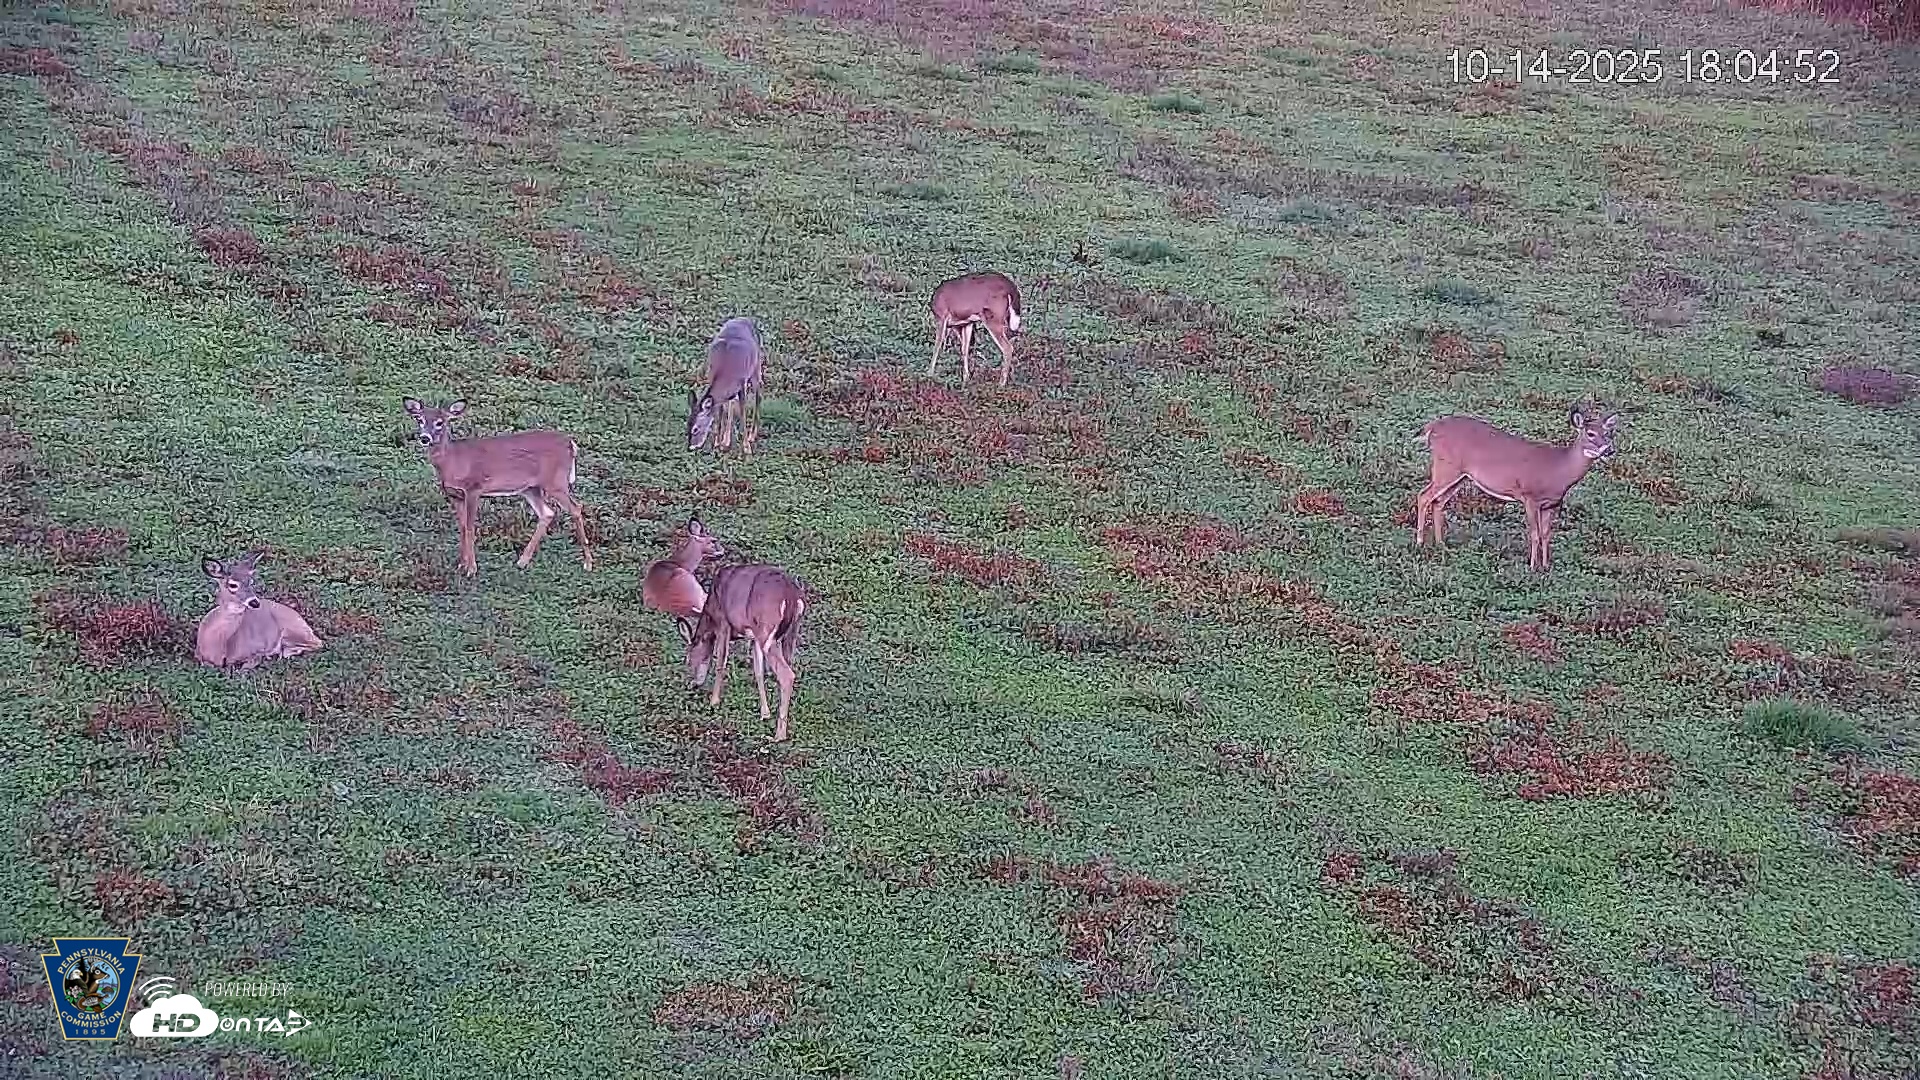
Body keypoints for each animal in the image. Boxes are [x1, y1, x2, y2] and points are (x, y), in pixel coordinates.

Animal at [194, 551, 323, 671]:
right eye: (232, 585)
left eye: (251, 582)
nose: (255, 602)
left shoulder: (256, 649)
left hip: (292, 629)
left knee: (317, 643)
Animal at [403, 398, 593, 579]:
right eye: (419, 419)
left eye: (440, 422)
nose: (425, 438)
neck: (453, 461)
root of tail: (570, 443)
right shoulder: (454, 495)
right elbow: (462, 527)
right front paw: (461, 565)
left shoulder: (473, 489)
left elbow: (470, 527)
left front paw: (471, 569)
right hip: (531, 488)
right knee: (547, 513)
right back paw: (522, 561)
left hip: (555, 481)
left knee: (576, 508)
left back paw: (588, 563)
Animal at [685, 563, 806, 742]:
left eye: (688, 659)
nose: (694, 683)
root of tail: (791, 596)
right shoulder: (754, 637)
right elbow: (758, 672)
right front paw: (765, 713)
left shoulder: (723, 622)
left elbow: (720, 663)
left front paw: (714, 702)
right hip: (789, 633)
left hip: (767, 632)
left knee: (787, 675)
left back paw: (779, 735)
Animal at [687, 317, 764, 456]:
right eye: (688, 424)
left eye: (695, 429)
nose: (691, 447)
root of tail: (746, 319)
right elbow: (720, 412)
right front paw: (718, 443)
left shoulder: (742, 383)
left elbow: (743, 413)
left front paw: (746, 448)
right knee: (731, 404)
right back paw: (726, 441)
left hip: (756, 367)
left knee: (758, 396)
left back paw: (752, 436)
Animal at [1414, 407, 1620, 572]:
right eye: (1590, 433)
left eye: (1608, 433)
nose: (1609, 450)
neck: (1558, 470)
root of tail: (1432, 427)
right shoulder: (1529, 497)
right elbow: (1534, 534)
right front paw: (1532, 566)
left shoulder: (1552, 504)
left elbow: (1546, 534)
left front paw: (1546, 566)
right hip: (1446, 466)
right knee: (1423, 496)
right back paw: (1420, 543)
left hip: (1460, 475)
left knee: (1438, 501)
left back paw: (1440, 545)